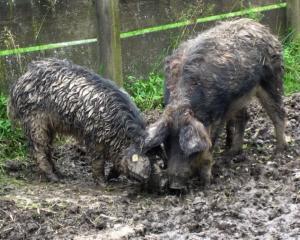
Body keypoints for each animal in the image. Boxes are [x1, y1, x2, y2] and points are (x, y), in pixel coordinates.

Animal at [7, 59, 151, 183]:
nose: (148, 177)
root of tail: (18, 83)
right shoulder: (93, 137)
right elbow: (98, 160)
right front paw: (103, 183)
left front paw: (110, 178)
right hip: (34, 120)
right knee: (39, 148)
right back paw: (54, 178)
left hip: (48, 126)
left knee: (48, 147)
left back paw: (60, 174)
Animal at [144, 18, 288, 190]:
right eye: (167, 143)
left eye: (189, 150)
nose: (174, 186)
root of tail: (261, 27)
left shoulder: (218, 114)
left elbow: (209, 145)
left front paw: (206, 183)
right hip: (241, 98)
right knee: (244, 118)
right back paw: (231, 153)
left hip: (272, 79)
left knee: (278, 113)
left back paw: (279, 151)